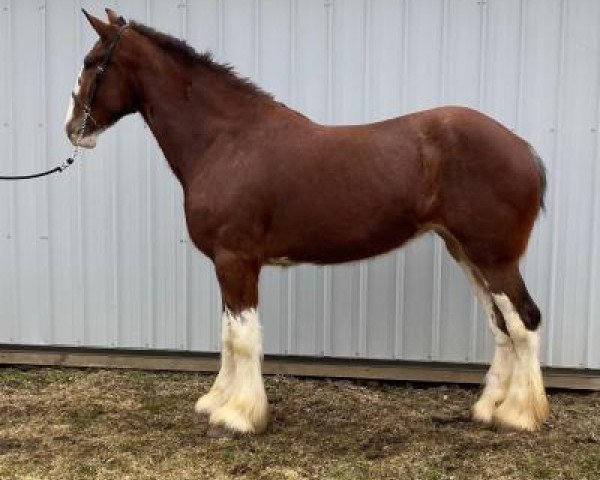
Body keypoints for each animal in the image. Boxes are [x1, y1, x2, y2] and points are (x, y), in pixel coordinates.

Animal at [64, 8, 548, 436]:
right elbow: (227, 334)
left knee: (523, 321)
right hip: (466, 254)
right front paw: (217, 402)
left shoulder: (236, 259)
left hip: (494, 257)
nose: (72, 129)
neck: (226, 140)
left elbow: (242, 338)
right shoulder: (226, 263)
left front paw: (239, 417)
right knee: (500, 325)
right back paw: (488, 408)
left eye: (91, 63)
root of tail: (522, 147)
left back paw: (518, 415)